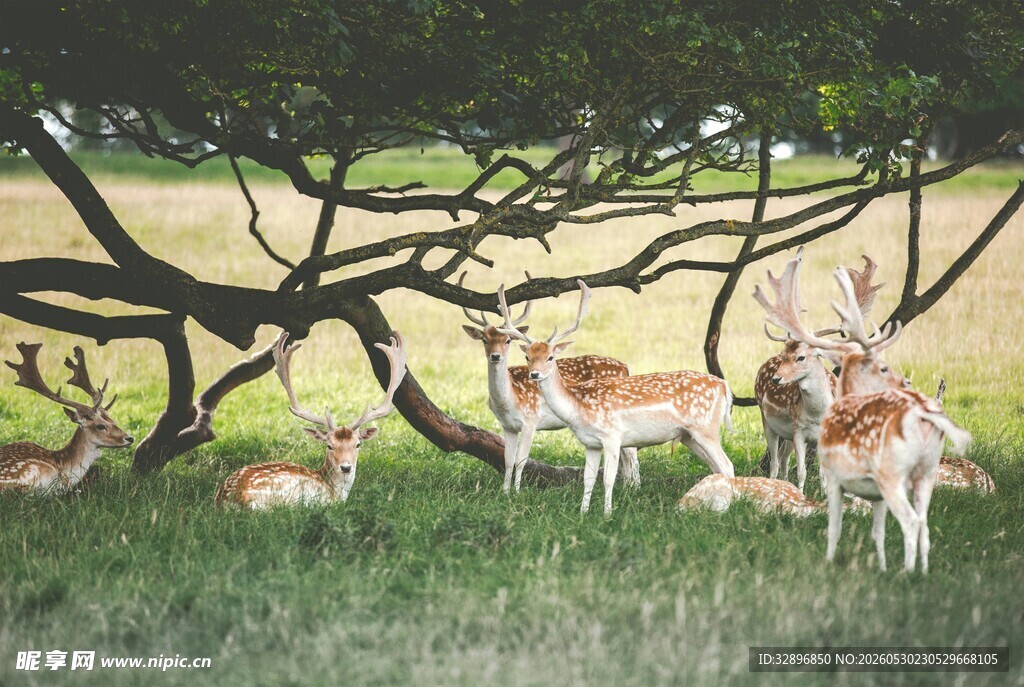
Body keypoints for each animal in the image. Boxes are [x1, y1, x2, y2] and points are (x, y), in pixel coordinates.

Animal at [459, 271, 639, 492]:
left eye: (507, 341)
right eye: (485, 340)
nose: (495, 356)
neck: (509, 400)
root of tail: (626, 367)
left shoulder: (530, 420)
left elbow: (521, 459)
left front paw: (517, 492)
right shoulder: (507, 426)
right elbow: (507, 460)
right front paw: (504, 491)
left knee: (631, 453)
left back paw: (634, 488)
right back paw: (627, 488)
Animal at [498, 280, 734, 515]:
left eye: (550, 357)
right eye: (527, 356)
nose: (534, 374)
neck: (578, 407)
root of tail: (724, 386)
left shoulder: (612, 436)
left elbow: (608, 479)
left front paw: (607, 514)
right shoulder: (591, 443)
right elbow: (589, 479)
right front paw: (583, 513)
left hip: (706, 428)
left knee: (727, 465)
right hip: (688, 435)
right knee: (717, 467)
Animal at [753, 250, 886, 493]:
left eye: (801, 357)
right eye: (785, 354)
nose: (777, 378)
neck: (816, 415)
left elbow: (824, 474)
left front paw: (824, 494)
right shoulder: (798, 430)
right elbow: (802, 471)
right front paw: (801, 494)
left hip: (785, 433)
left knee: (783, 458)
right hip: (766, 419)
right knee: (775, 461)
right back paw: (774, 483)